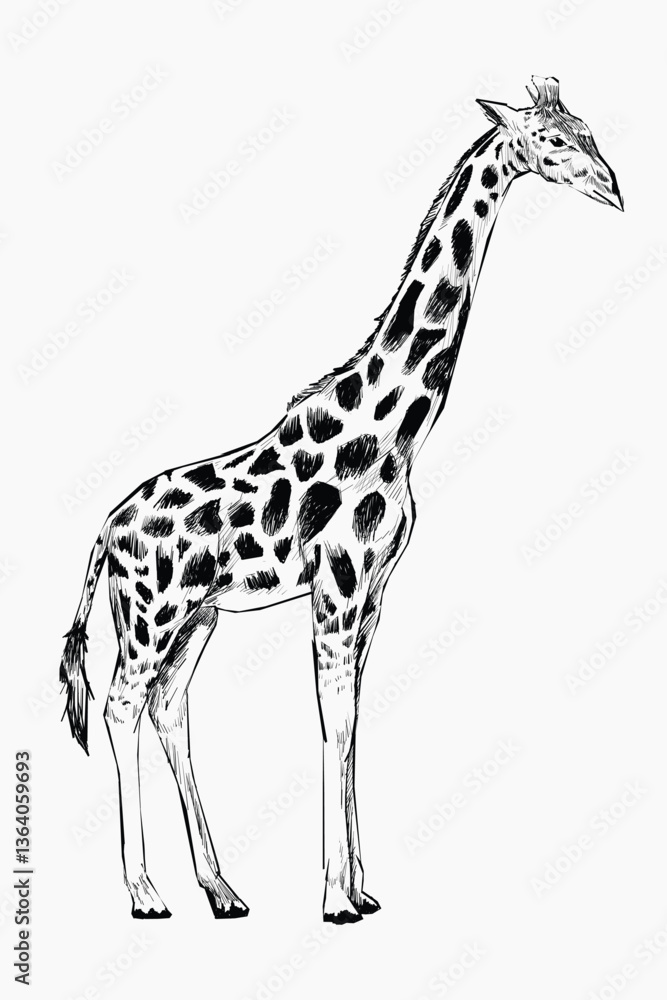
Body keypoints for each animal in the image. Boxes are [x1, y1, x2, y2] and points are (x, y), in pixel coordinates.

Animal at [60, 77, 623, 923]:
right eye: (554, 141)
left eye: (587, 130)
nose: (614, 188)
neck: (391, 428)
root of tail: (103, 532)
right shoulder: (338, 585)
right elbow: (334, 723)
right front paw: (334, 899)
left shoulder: (375, 592)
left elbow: (353, 722)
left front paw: (360, 886)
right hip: (153, 614)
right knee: (122, 708)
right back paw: (146, 893)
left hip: (193, 617)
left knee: (167, 710)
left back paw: (221, 889)